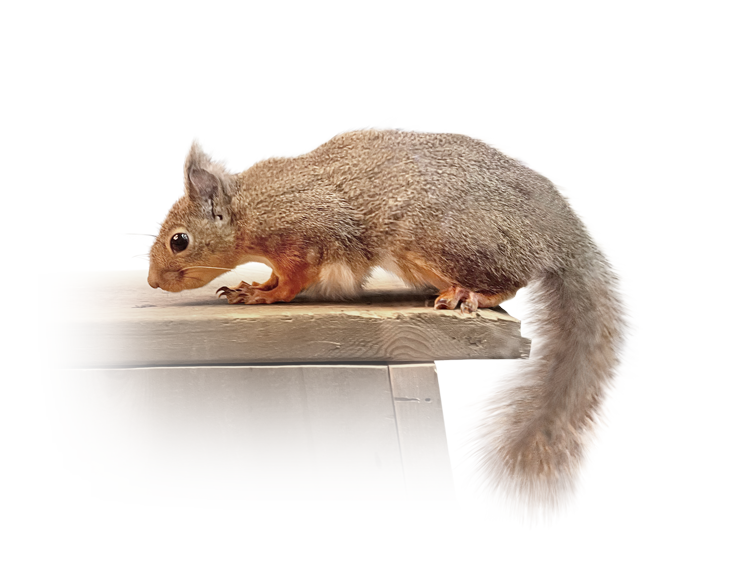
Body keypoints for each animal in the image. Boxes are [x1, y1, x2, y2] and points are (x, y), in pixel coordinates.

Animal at [147, 128, 628, 531]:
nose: (152, 281)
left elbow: (294, 279)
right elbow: (277, 275)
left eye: (179, 241)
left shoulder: (308, 236)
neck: (250, 208)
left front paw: (265, 295)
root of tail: (556, 231)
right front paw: (255, 285)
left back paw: (469, 295)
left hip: (445, 241)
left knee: (507, 282)